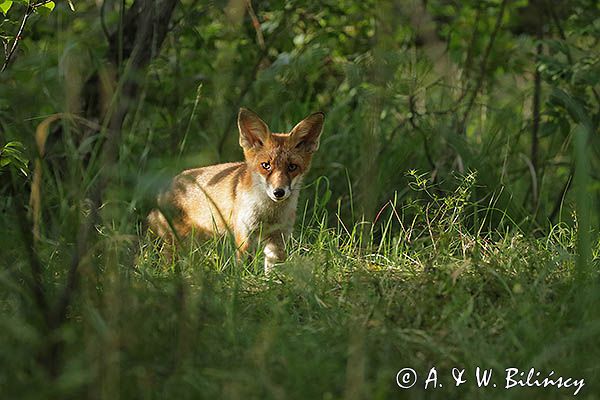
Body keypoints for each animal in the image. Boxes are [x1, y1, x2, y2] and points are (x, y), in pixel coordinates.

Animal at [148, 108, 326, 274]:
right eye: (266, 165)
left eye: (292, 167)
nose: (278, 192)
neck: (269, 214)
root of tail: (168, 184)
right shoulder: (245, 236)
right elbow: (243, 269)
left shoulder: (278, 239)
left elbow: (274, 271)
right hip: (177, 244)